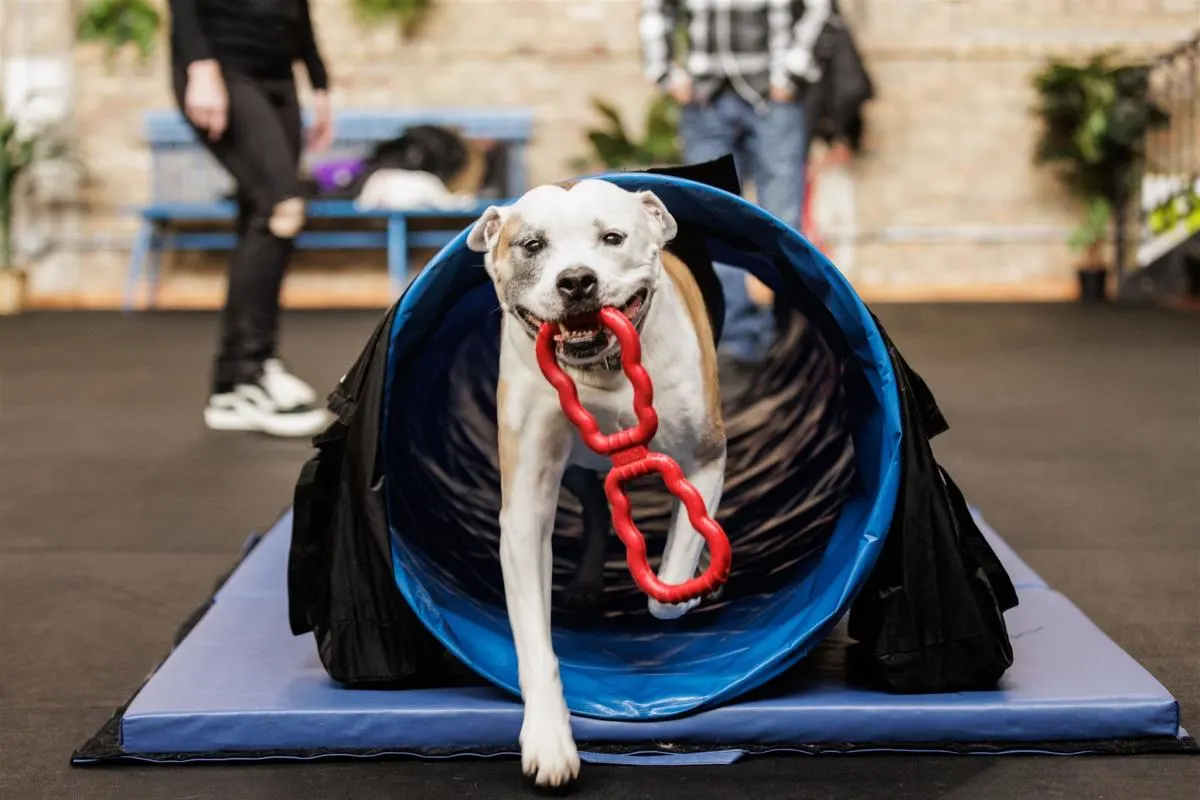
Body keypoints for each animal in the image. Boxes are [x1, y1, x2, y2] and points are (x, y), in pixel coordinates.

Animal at [465, 178, 724, 786]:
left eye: (613, 237)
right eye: (532, 245)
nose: (576, 280)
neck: (601, 372)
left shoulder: (705, 460)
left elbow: (666, 585)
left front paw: (689, 587)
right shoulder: (526, 508)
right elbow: (534, 639)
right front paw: (548, 740)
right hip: (580, 473)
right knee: (598, 509)